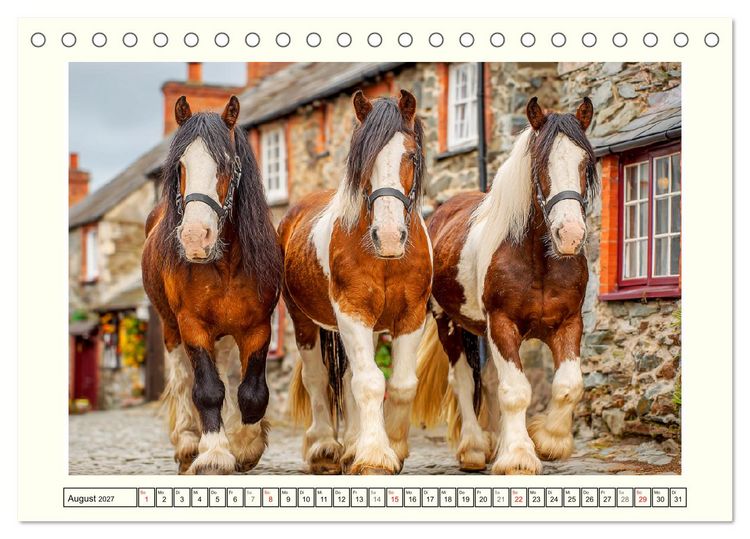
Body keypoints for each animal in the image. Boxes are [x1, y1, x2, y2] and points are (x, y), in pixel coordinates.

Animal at [142, 95, 283, 474]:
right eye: (180, 166)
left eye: (227, 164)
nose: (194, 237)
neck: (225, 265)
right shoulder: (191, 324)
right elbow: (206, 389)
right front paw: (215, 453)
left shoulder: (258, 326)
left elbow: (251, 391)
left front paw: (245, 445)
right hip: (171, 328)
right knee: (181, 378)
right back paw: (189, 442)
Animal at [281, 90, 432, 475]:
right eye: (363, 159)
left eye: (411, 155)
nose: (389, 236)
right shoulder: (352, 313)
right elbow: (369, 382)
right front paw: (375, 455)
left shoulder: (411, 315)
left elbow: (401, 384)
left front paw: (393, 446)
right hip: (304, 321)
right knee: (318, 379)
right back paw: (324, 447)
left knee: (347, 380)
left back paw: (350, 445)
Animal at [412, 96, 598, 475]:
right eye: (541, 164)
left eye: (585, 162)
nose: (570, 235)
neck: (538, 261)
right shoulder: (502, 324)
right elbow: (515, 391)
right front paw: (518, 457)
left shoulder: (568, 323)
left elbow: (568, 385)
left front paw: (549, 441)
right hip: (448, 323)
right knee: (464, 381)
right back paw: (473, 449)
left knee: (488, 381)